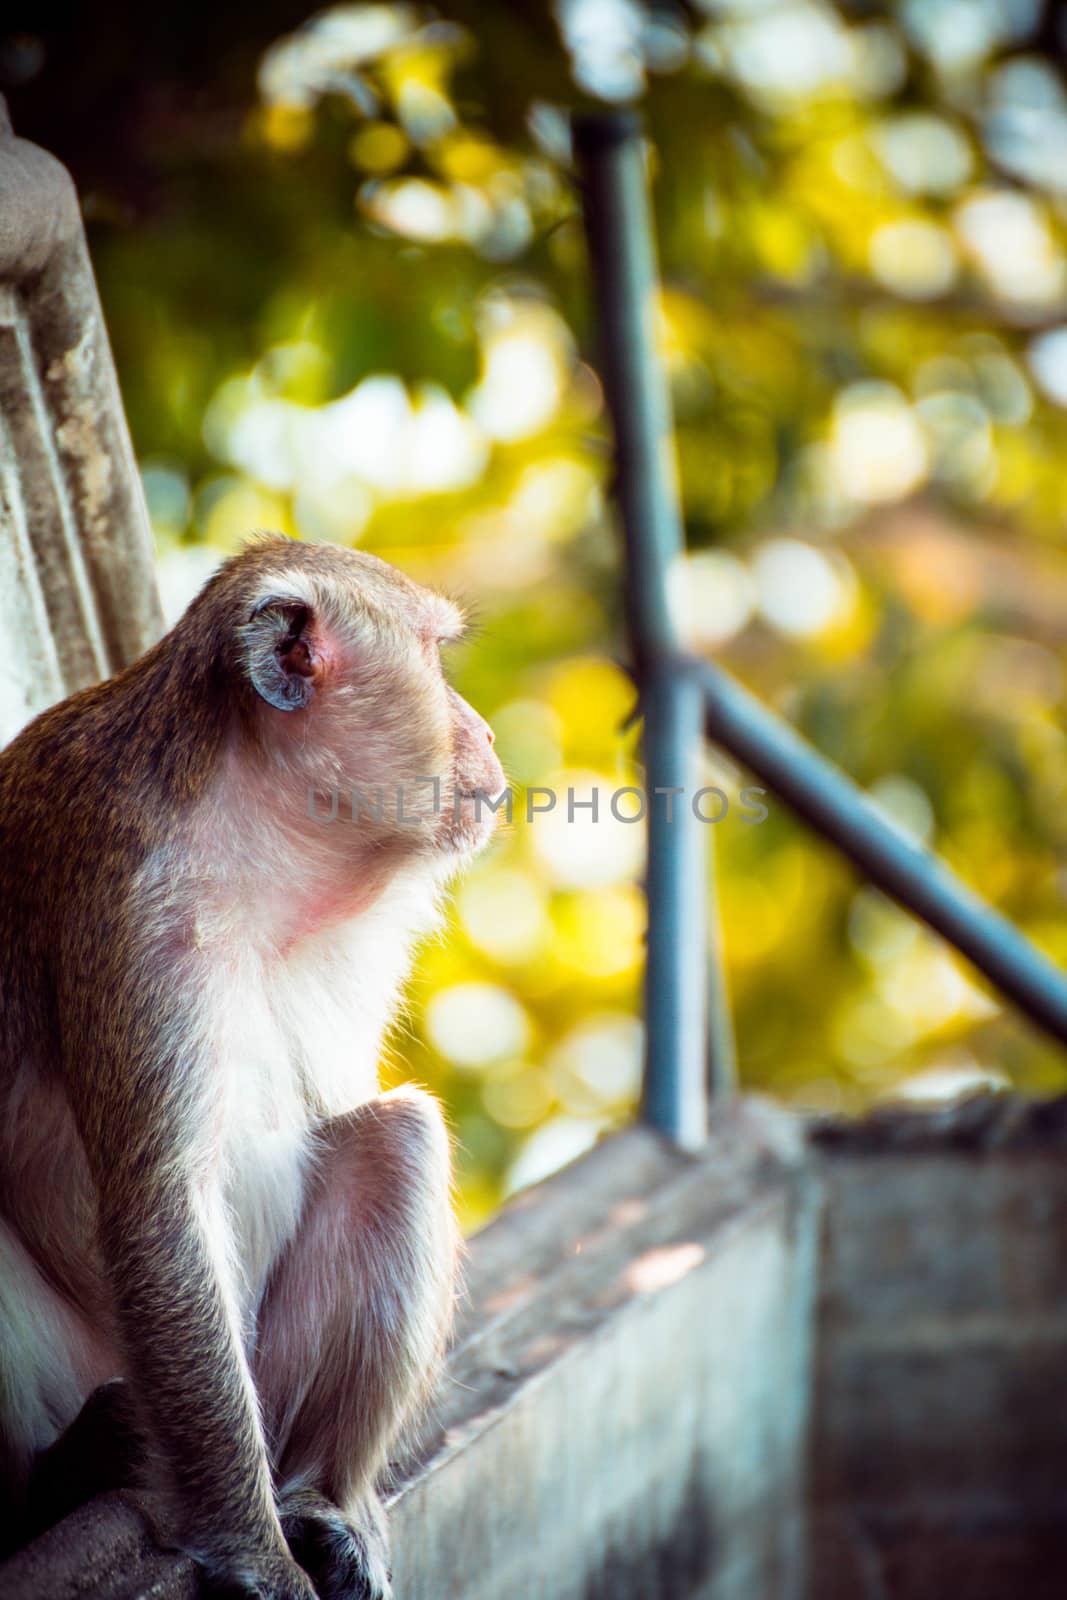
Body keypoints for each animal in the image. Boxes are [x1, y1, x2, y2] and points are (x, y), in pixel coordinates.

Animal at [0, 537, 505, 1600]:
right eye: (435, 656)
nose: (483, 731)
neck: (266, 841)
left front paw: (319, 1521)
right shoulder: (132, 913)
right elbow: (161, 1200)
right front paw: (254, 1553)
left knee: (397, 1138)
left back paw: (320, 1499)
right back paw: (67, 1476)